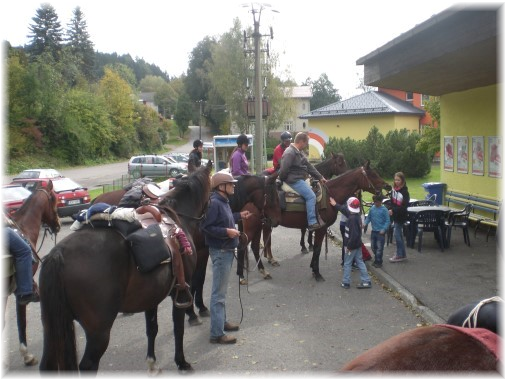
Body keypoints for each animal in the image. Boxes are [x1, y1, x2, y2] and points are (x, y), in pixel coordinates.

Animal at [0, 183, 60, 370]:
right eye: (54, 199)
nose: (58, 224)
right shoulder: (20, 291)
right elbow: (22, 321)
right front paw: (26, 355)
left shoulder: (4, 293)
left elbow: (1, 322)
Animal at [38, 163, 211, 380]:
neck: (177, 218)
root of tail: (58, 253)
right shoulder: (179, 291)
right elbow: (178, 328)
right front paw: (182, 363)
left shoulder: (151, 296)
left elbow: (152, 329)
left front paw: (153, 366)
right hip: (99, 331)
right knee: (88, 366)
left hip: (52, 327)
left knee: (48, 366)